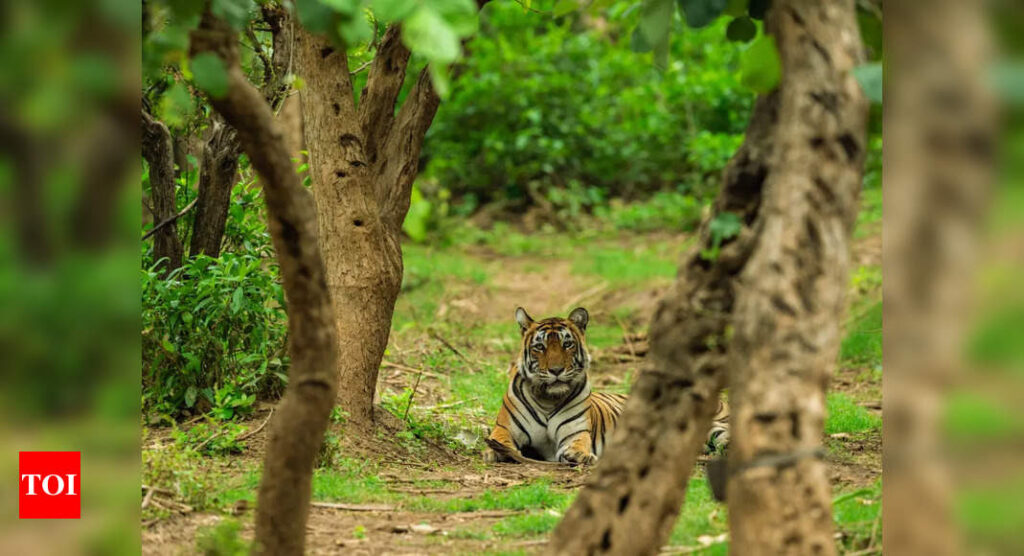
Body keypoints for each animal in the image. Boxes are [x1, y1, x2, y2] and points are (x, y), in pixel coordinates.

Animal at [485, 307, 733, 466]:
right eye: (540, 347)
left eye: (567, 344)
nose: (556, 370)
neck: (548, 399)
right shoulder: (505, 428)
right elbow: (499, 440)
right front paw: (495, 452)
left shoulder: (575, 433)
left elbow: (577, 444)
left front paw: (578, 455)